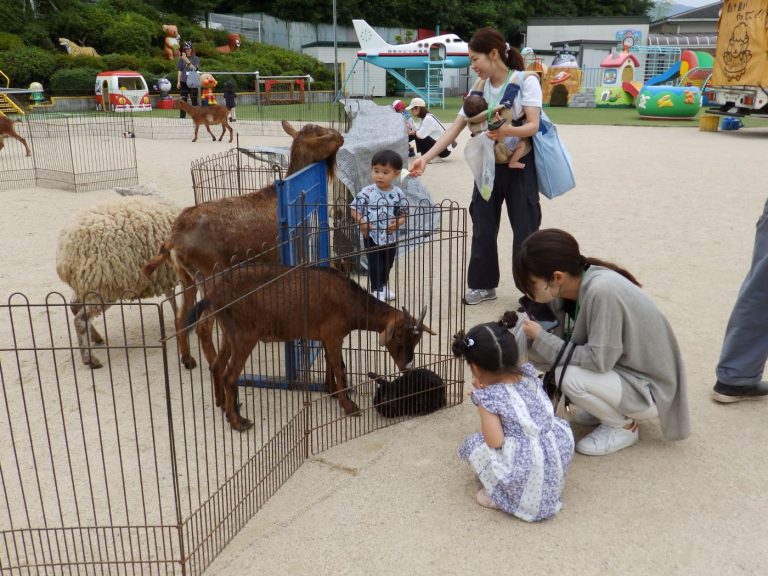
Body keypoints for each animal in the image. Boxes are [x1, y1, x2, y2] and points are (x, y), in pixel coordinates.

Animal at [57, 191, 180, 366]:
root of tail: (65, 251)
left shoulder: (165, 275)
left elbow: (171, 297)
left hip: (86, 284)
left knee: (74, 308)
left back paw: (96, 338)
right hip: (102, 287)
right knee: (80, 319)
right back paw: (90, 359)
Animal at [146, 121, 344, 368]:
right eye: (322, 134)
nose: (341, 137)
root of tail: (172, 242)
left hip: (186, 277)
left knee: (182, 318)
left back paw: (188, 358)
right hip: (210, 275)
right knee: (202, 325)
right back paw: (214, 363)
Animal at [189, 264, 436, 430]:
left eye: (417, 340)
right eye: (399, 337)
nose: (406, 365)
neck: (349, 300)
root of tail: (213, 295)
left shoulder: (327, 337)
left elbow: (331, 363)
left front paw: (332, 392)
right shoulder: (333, 335)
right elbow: (339, 367)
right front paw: (349, 406)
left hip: (228, 334)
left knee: (216, 365)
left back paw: (223, 406)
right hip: (244, 336)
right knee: (230, 375)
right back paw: (238, 422)